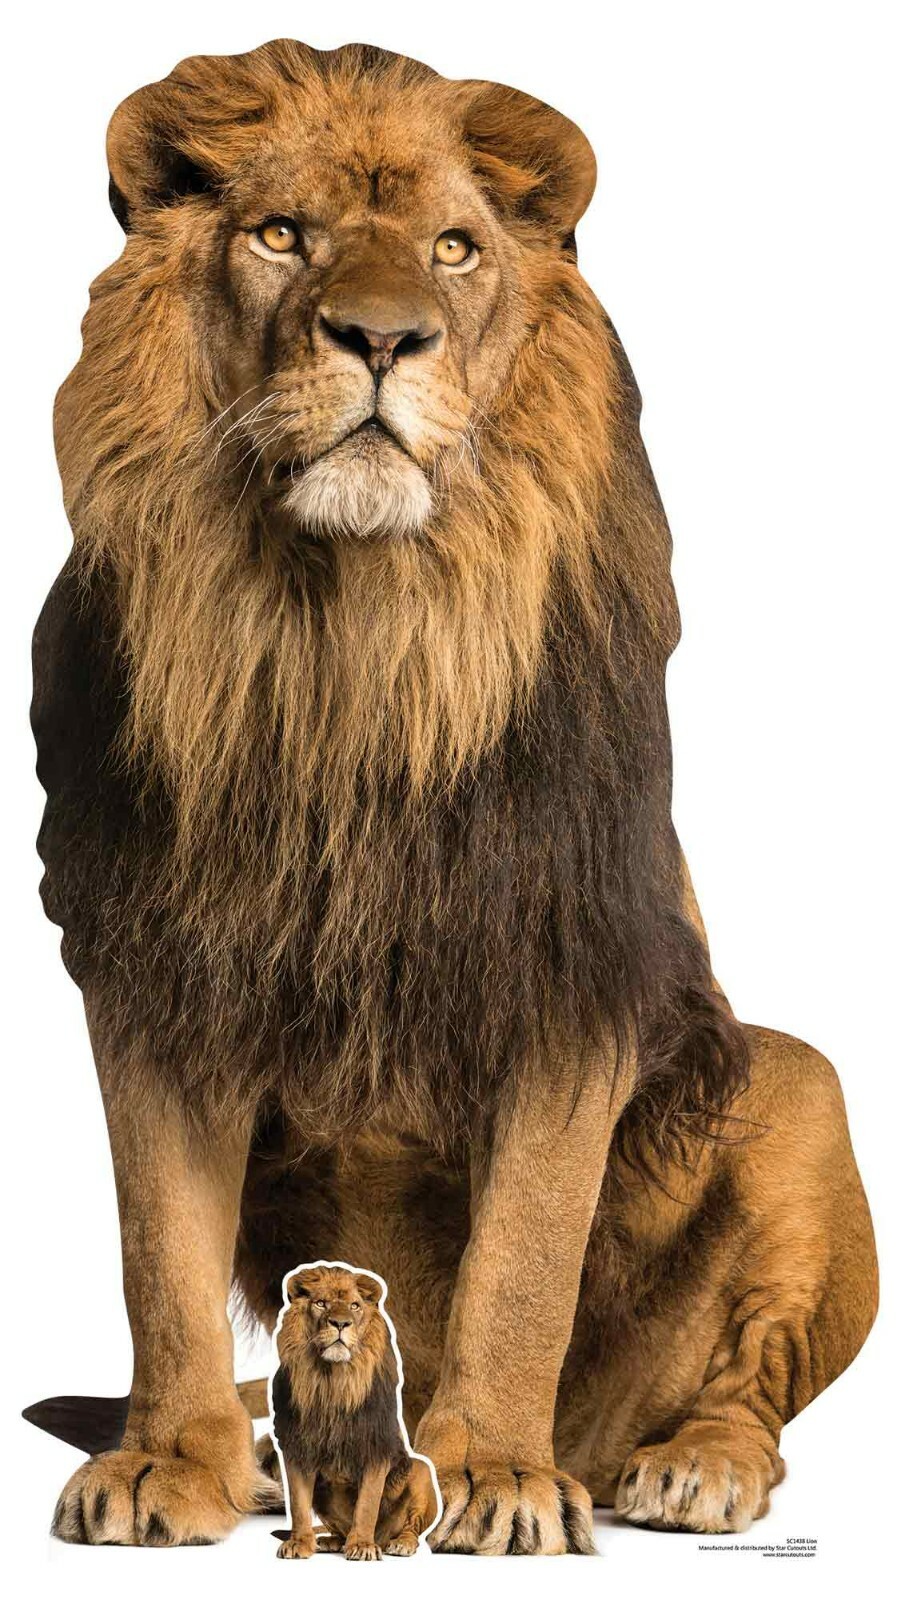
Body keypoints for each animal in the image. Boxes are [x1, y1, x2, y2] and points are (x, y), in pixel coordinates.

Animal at [268, 1264, 437, 1560]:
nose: (340, 1324)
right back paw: (331, 1541)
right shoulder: (297, 1447)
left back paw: (398, 1543)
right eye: (321, 1303)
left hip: (421, 1470)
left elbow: (367, 1504)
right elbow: (298, 1504)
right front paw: (299, 1543)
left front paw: (362, 1546)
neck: (333, 1382)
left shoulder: (376, 1446)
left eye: (355, 1306)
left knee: (413, 1527)